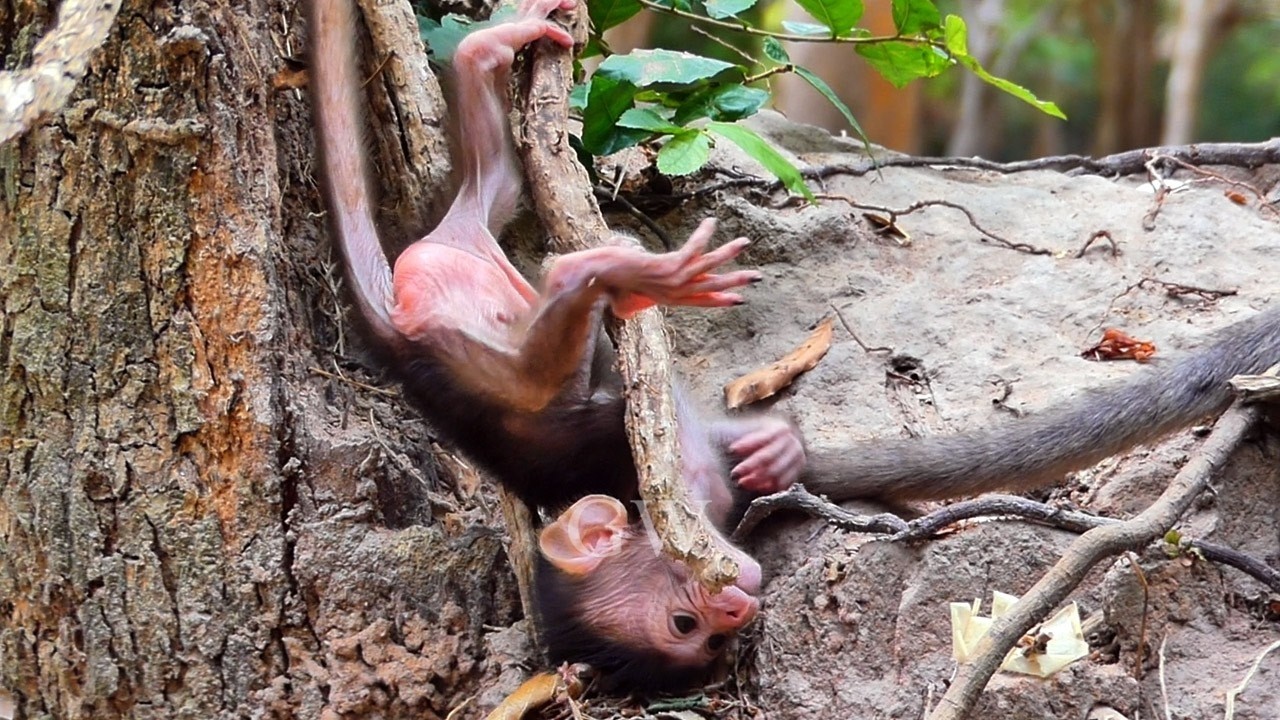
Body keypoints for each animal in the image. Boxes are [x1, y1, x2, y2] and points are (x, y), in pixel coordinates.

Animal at [306, 0, 805, 693]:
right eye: (692, 630)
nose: (738, 609)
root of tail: (401, 337)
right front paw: (771, 454)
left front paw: (775, 451)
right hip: (486, 363)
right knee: (543, 363)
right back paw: (616, 278)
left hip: (463, 246)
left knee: (493, 186)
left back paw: (487, 51)